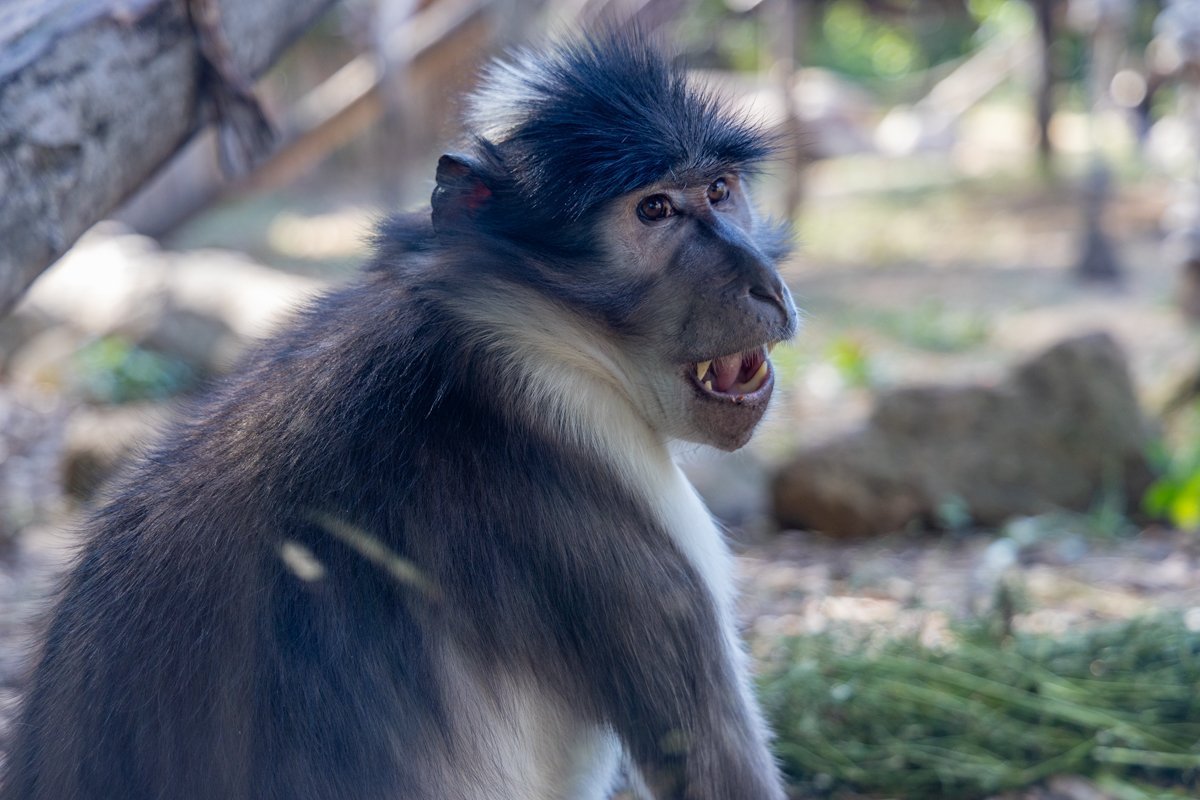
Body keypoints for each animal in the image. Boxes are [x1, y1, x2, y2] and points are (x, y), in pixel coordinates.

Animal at [2, 30, 798, 800]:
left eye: (720, 190)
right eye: (654, 209)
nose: (764, 282)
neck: (534, 327)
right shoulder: (594, 478)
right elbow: (714, 768)